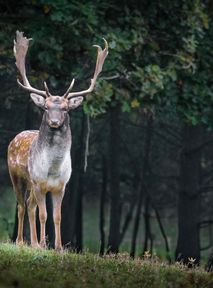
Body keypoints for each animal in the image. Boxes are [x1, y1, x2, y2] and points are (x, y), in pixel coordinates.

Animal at [8, 29, 108, 250]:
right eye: (46, 107)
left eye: (65, 108)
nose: (54, 122)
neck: (53, 169)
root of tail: (15, 138)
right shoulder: (39, 183)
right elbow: (43, 215)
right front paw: (43, 245)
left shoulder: (61, 186)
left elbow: (57, 216)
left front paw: (59, 247)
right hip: (17, 177)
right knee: (21, 205)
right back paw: (21, 241)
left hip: (31, 184)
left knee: (29, 205)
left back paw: (33, 242)